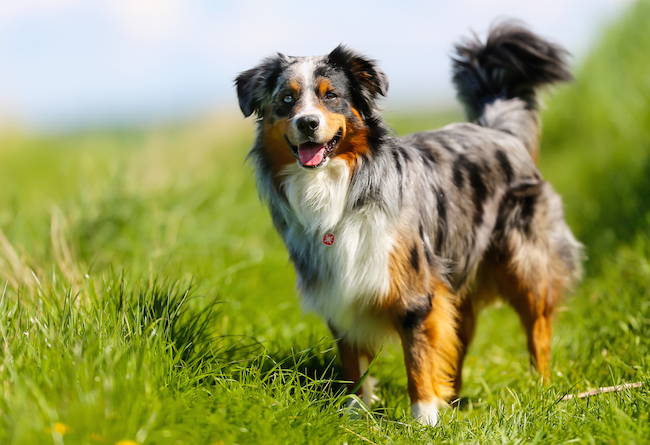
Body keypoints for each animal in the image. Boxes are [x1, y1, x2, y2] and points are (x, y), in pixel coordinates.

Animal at [235, 22, 580, 424]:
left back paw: (541, 391)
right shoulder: (337, 288)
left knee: (537, 330)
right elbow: (353, 362)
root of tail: (500, 131)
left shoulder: (414, 289)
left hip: (525, 266)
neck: (340, 188)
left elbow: (417, 357)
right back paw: (455, 399)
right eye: (287, 100)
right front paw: (355, 412)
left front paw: (424, 418)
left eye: (331, 96)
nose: (308, 123)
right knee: (458, 341)